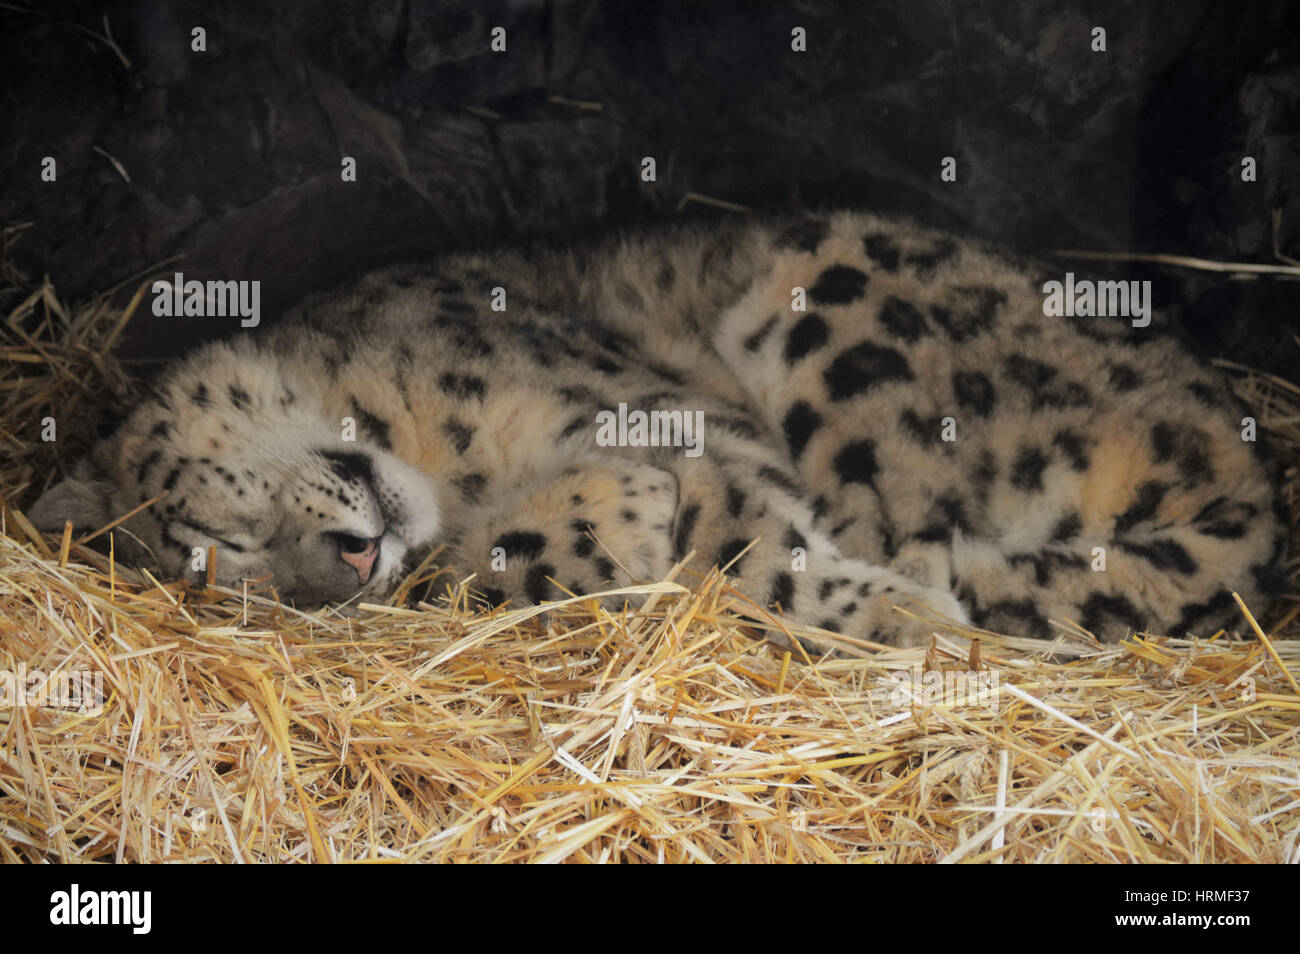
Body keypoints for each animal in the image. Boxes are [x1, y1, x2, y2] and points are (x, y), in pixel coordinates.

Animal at [28, 210, 1289, 648]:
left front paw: (892, 616)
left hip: (830, 293)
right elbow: (512, 565)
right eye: (243, 582)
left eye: (219, 537)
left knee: (900, 516)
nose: (346, 564)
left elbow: (753, 540)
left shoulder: (662, 409)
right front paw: (601, 518)